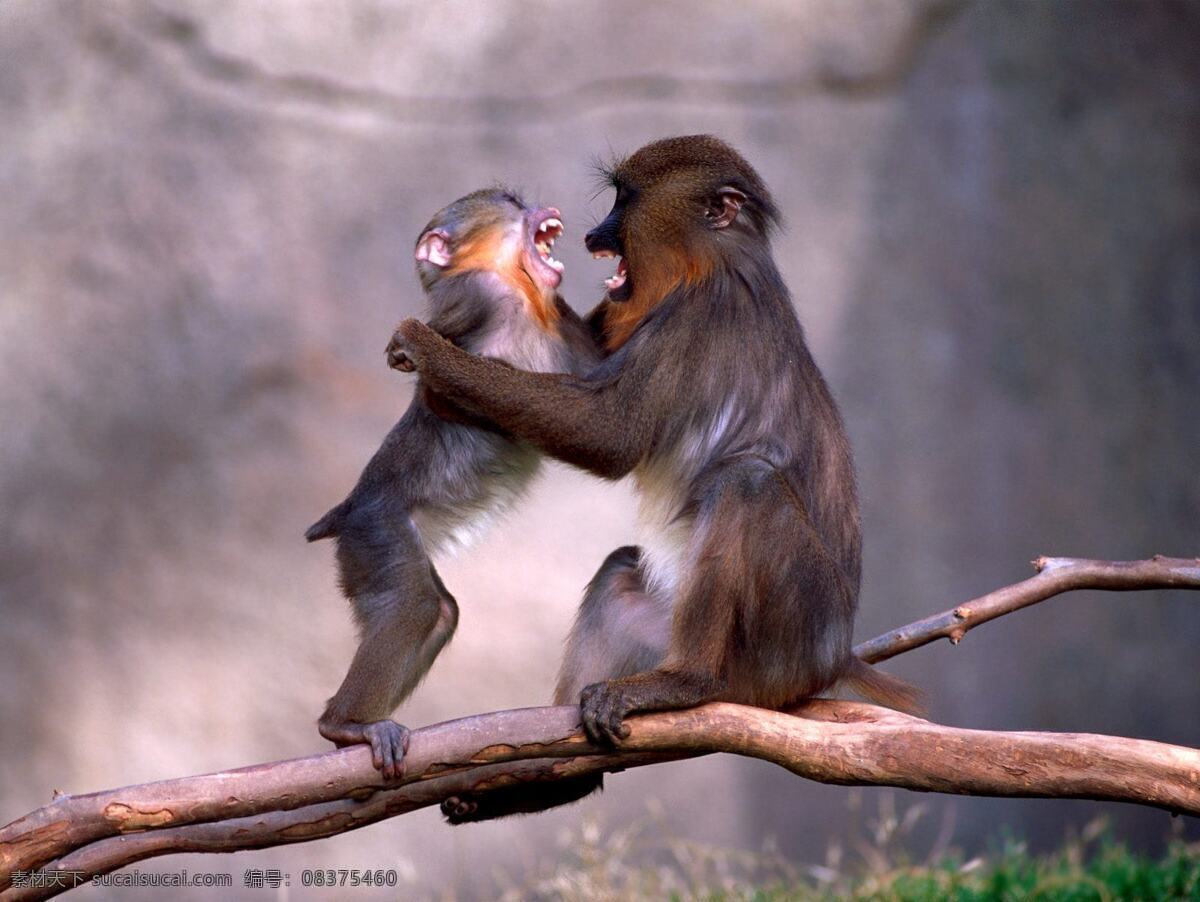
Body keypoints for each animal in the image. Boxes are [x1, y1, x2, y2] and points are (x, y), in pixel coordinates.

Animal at [304, 188, 595, 777]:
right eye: (508, 200)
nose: (540, 206)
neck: (522, 293)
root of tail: (349, 508)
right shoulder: (473, 297)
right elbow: (442, 383)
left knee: (440, 613)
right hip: (379, 534)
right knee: (415, 607)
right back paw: (345, 726)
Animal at [388, 137, 912, 820]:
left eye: (626, 199)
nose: (592, 235)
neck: (715, 260)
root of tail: (833, 656)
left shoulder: (694, 319)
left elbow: (611, 434)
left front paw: (428, 350)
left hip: (781, 646)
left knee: (748, 485)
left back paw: (687, 684)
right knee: (620, 573)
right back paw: (561, 780)